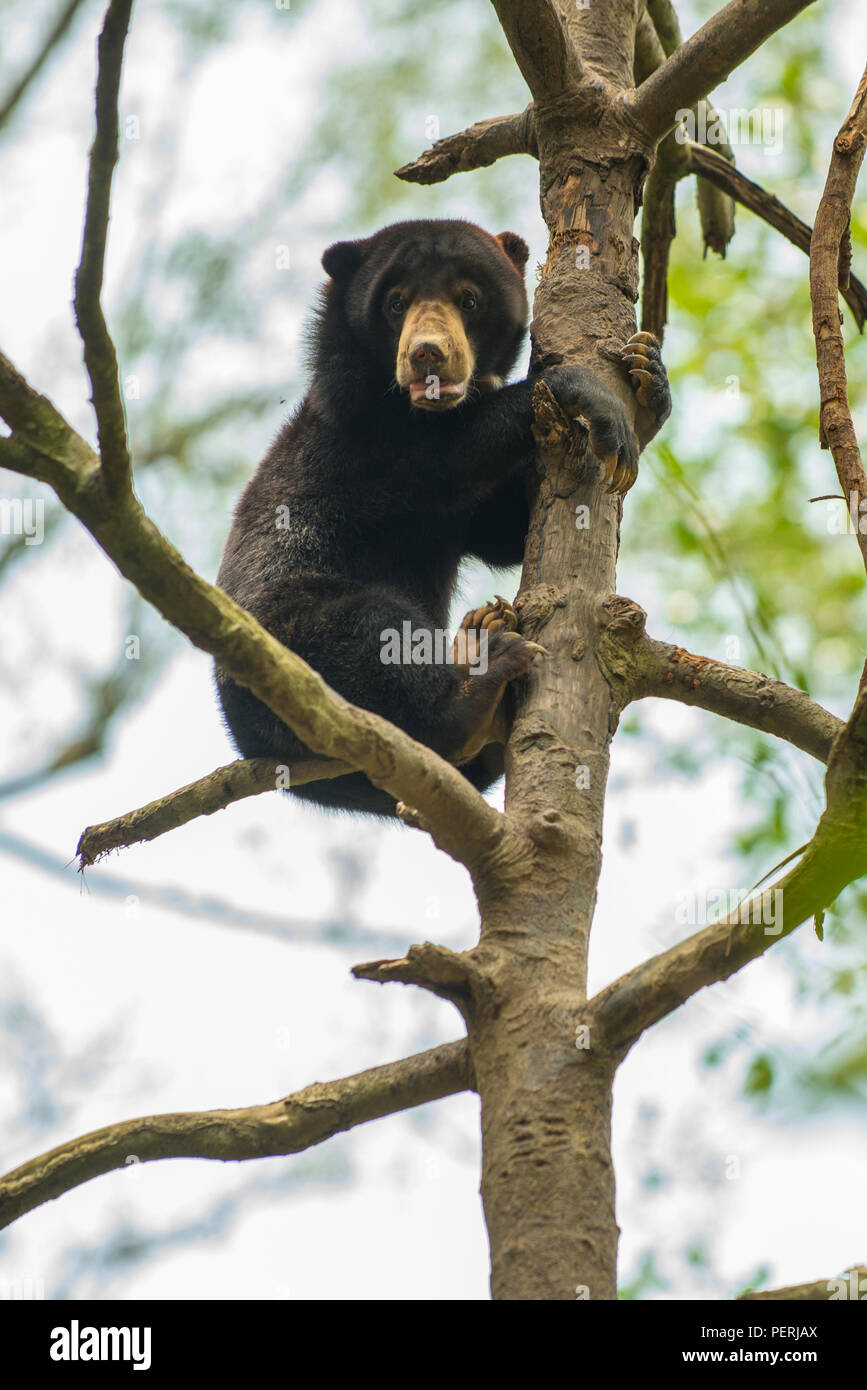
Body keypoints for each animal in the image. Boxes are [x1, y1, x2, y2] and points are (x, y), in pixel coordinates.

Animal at [215, 219, 670, 816]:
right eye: (395, 302)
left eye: (469, 299)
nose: (427, 354)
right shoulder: (361, 441)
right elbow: (440, 462)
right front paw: (589, 395)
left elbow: (506, 530)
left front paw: (645, 380)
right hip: (284, 639)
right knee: (372, 633)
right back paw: (477, 683)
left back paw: (483, 637)